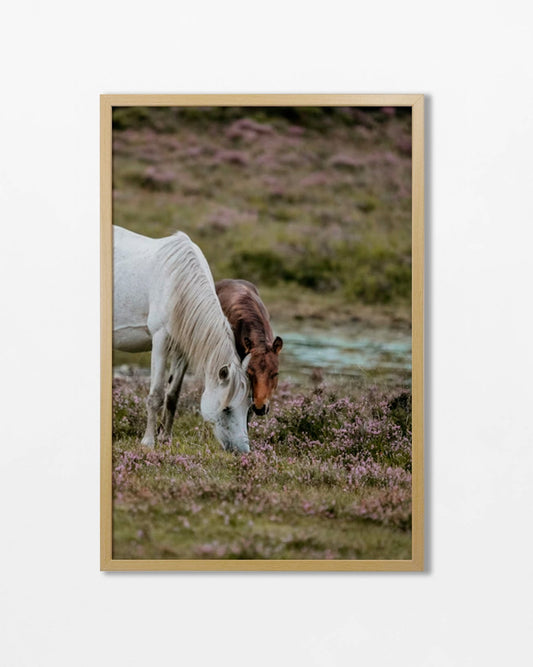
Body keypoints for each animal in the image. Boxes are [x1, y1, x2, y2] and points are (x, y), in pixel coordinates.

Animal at [113, 226, 251, 453]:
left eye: (248, 406)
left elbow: (172, 396)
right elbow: (156, 395)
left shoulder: (183, 348)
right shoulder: (160, 340)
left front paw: (165, 439)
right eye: (227, 409)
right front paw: (148, 442)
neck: (177, 282)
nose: (243, 451)